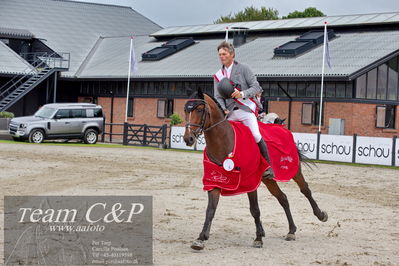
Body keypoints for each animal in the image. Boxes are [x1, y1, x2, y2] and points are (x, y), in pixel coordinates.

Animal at [184, 90, 328, 250]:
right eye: (185, 110)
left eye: (199, 109)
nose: (188, 139)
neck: (225, 141)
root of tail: (282, 128)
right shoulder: (215, 179)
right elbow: (210, 209)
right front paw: (200, 238)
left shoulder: (250, 181)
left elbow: (255, 210)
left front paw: (258, 238)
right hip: (268, 179)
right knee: (283, 198)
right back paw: (291, 230)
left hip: (294, 171)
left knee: (305, 190)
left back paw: (320, 215)